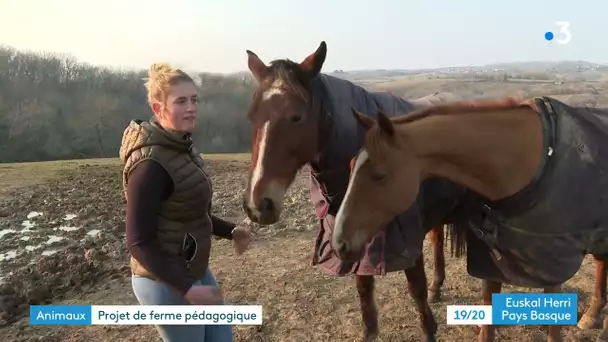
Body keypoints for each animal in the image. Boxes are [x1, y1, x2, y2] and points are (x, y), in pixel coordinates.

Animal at [242, 40, 470, 342]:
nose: (258, 204)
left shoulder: (405, 236)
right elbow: (365, 294)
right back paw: (438, 286)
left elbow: (416, 289)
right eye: (251, 116)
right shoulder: (351, 236)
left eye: (297, 117)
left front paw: (429, 331)